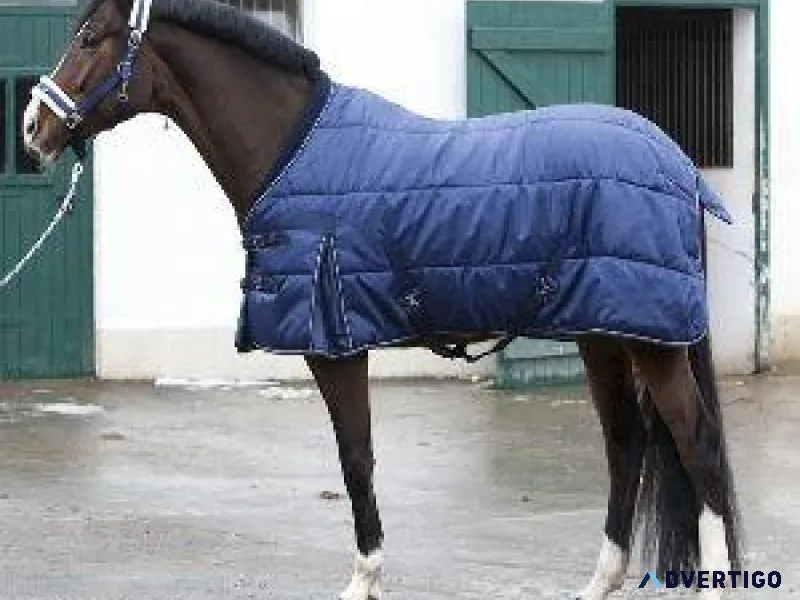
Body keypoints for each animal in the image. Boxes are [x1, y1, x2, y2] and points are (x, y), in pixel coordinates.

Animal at [22, 0, 741, 598]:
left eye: (89, 37)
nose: (33, 128)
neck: (293, 149)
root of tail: (676, 162)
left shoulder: (334, 347)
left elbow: (355, 458)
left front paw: (363, 579)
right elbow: (358, 455)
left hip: (650, 342)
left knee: (696, 443)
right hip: (604, 335)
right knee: (626, 444)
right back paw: (598, 584)